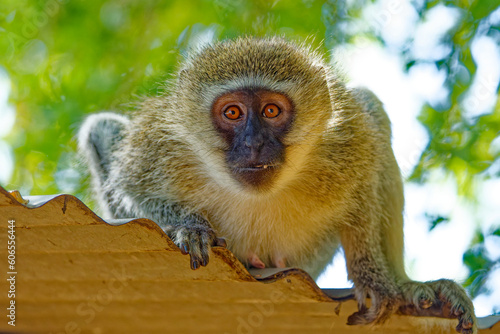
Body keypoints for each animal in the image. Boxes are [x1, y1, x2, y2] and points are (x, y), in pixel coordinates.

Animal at [77, 37, 476, 334]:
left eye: (271, 111)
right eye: (233, 112)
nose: (254, 143)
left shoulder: (348, 138)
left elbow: (363, 192)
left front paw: (375, 278)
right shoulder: (157, 145)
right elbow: (131, 189)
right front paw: (188, 226)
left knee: (371, 108)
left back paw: (407, 285)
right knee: (101, 130)